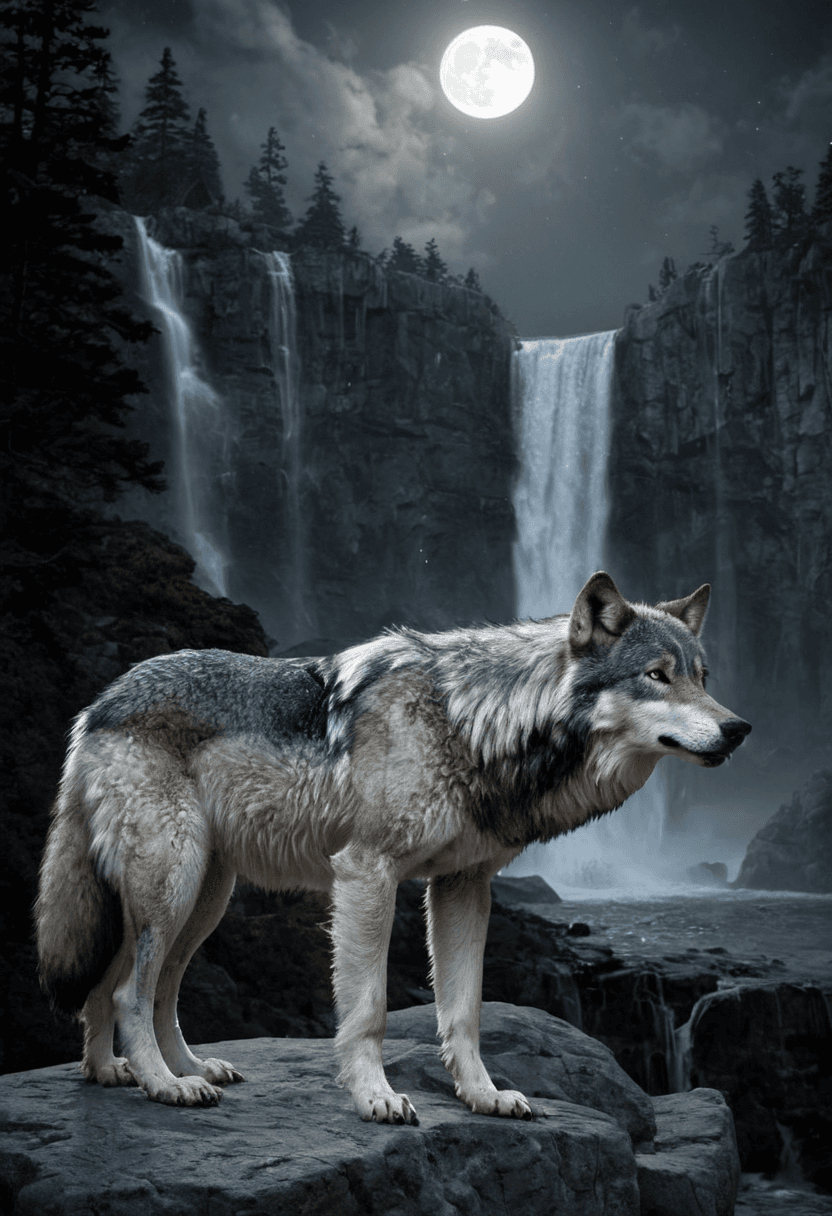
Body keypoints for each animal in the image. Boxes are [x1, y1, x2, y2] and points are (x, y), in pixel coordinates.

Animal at [36, 572, 750, 1124]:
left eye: (703, 676)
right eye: (657, 676)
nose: (739, 729)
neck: (472, 721)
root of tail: (98, 705)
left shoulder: (464, 886)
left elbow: (462, 1012)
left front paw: (484, 1097)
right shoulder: (366, 874)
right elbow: (370, 1009)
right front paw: (375, 1098)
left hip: (201, 898)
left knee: (139, 987)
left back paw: (138, 1071)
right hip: (173, 883)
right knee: (129, 991)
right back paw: (164, 1084)